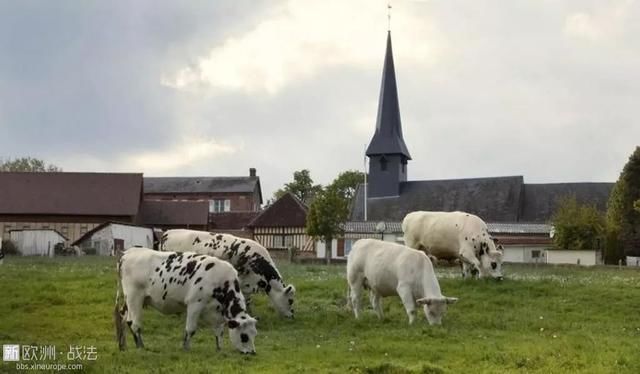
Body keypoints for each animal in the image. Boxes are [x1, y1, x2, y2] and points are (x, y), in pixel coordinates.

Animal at [115, 247, 258, 356]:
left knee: (124, 318)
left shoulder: (218, 311)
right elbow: (191, 329)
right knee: (134, 324)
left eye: (255, 334)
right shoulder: (195, 304)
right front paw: (186, 348)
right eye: (244, 336)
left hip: (130, 300)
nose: (252, 353)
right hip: (134, 297)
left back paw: (123, 346)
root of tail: (127, 253)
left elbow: (219, 332)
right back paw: (141, 347)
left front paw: (219, 349)